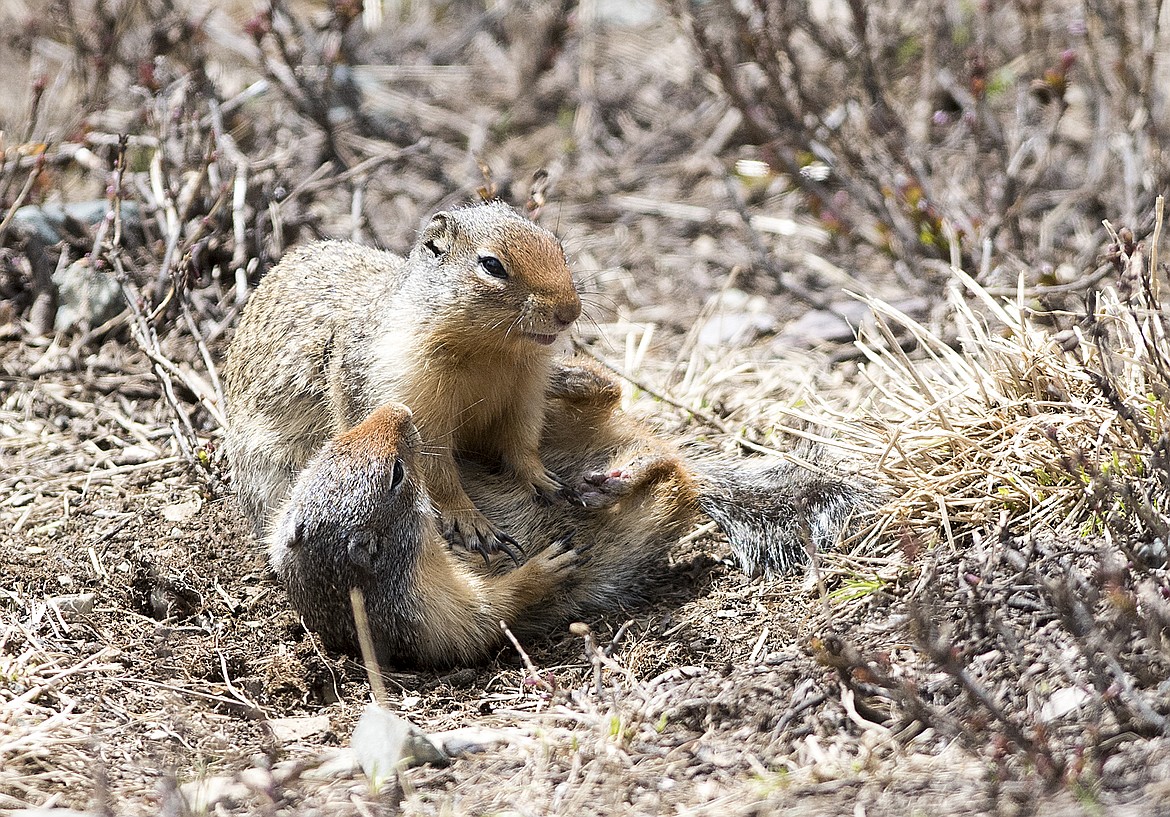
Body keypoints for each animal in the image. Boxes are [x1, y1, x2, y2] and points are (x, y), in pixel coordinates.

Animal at [222, 200, 580, 557]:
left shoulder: (526, 394)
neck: (492, 353)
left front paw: (549, 482)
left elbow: (522, 443)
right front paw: (473, 523)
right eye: (492, 265)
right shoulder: (414, 402)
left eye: (558, 246)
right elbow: (437, 474)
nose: (570, 312)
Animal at [267, 360, 870, 664]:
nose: (399, 410)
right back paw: (616, 482)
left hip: (560, 433)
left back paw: (579, 388)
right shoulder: (433, 617)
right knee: (672, 479)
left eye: (333, 449)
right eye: (395, 474)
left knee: (623, 424)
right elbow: (493, 614)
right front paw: (545, 568)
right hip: (651, 504)